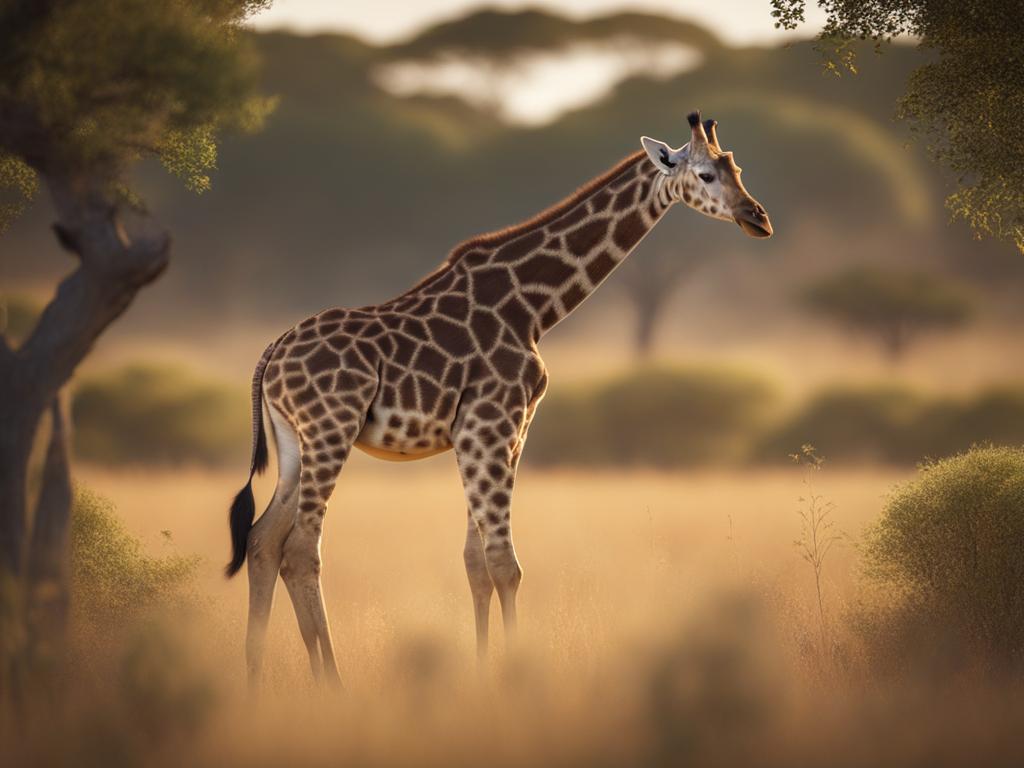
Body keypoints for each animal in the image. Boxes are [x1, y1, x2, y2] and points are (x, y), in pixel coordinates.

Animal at [230, 111, 774, 688]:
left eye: (735, 169)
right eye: (705, 175)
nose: (757, 218)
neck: (533, 307)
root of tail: (272, 353)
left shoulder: (505, 432)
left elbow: (476, 562)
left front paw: (484, 669)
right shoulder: (491, 424)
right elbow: (503, 562)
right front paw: (514, 676)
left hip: (296, 443)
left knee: (263, 541)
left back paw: (255, 677)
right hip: (331, 431)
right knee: (301, 549)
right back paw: (331, 682)